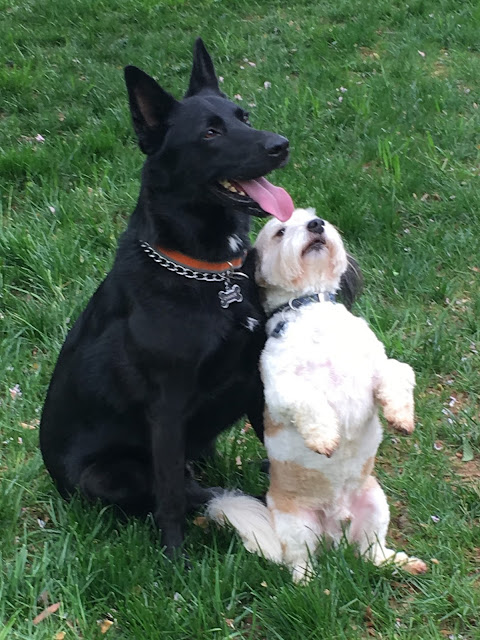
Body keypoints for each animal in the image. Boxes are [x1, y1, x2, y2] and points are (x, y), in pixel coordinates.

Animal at [40, 37, 296, 552]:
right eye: (210, 133)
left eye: (243, 116)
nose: (280, 145)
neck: (209, 275)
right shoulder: (167, 407)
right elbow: (171, 497)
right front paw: (176, 561)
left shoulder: (255, 378)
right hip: (108, 474)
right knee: (172, 488)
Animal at [206, 210, 428, 584]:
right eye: (280, 232)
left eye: (312, 217)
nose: (316, 225)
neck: (312, 311)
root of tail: (335, 528)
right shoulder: (281, 388)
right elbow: (309, 402)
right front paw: (325, 438)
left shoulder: (376, 368)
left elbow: (399, 373)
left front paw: (400, 415)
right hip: (298, 526)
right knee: (299, 561)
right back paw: (307, 584)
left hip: (374, 503)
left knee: (369, 552)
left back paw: (398, 562)